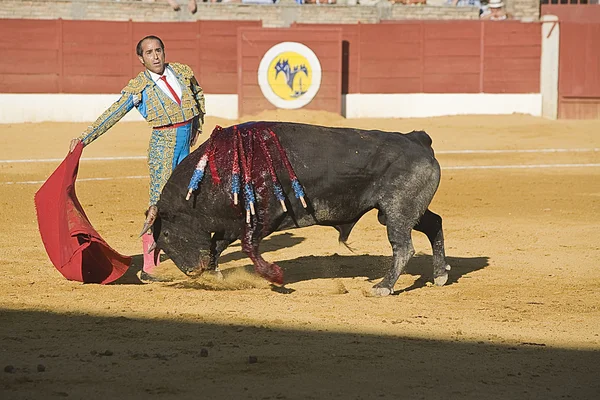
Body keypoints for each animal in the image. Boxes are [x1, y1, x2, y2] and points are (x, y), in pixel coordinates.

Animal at [146, 120, 450, 296]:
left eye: (168, 235)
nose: (191, 272)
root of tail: (417, 139)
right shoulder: (233, 223)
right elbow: (216, 247)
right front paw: (214, 275)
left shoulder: (262, 218)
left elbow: (247, 246)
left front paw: (275, 277)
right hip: (399, 212)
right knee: (434, 223)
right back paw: (440, 274)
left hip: (396, 211)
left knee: (404, 247)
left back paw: (383, 287)